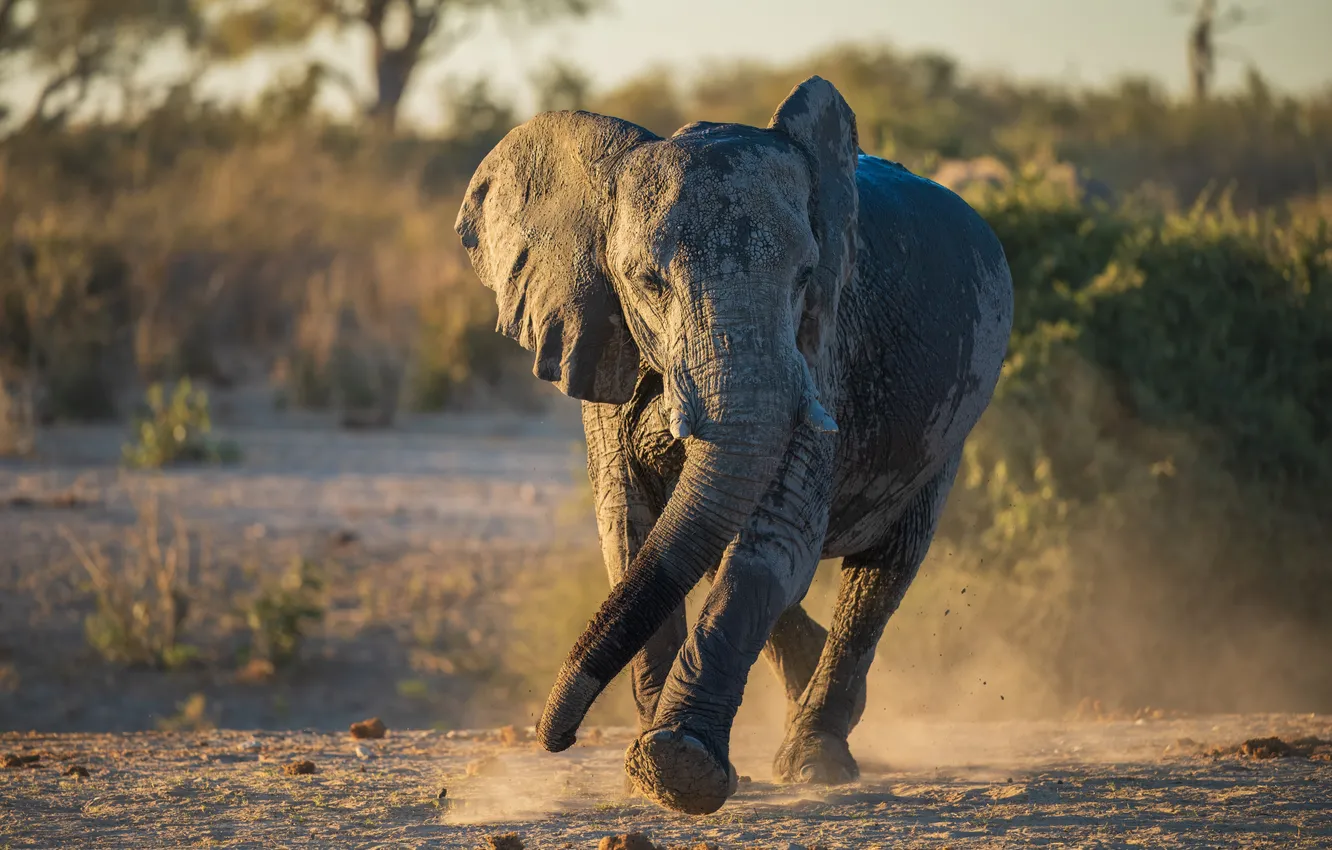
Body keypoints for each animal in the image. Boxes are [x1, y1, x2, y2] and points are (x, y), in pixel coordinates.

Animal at [455, 76, 1013, 815]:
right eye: (648, 282)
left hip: (956, 416)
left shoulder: (822, 351)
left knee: (885, 569)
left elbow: (773, 538)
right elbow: (631, 530)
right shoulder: (602, 336)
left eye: (805, 276)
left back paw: (817, 756)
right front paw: (647, 778)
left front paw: (677, 768)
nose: (556, 739)